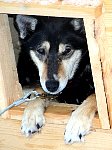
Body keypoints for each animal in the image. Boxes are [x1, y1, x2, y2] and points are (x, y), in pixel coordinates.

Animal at [15, 14, 96, 144]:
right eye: (40, 50)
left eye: (67, 50)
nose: (52, 86)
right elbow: (38, 91)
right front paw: (31, 114)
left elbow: (93, 98)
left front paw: (77, 123)